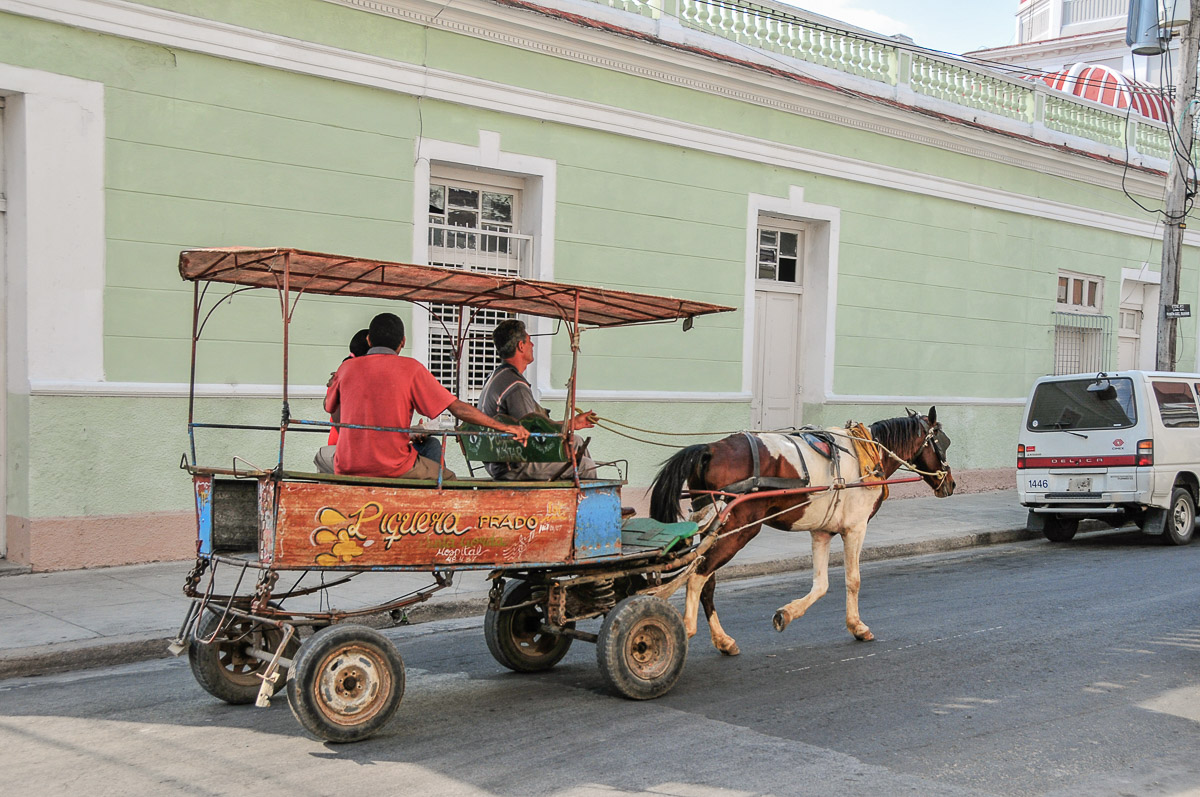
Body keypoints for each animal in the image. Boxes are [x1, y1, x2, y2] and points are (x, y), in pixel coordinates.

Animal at [652, 408, 950, 657]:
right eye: (943, 443)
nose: (950, 483)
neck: (865, 455)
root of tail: (711, 449)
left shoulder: (822, 532)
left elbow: (821, 584)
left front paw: (786, 613)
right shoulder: (856, 529)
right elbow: (853, 580)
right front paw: (857, 626)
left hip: (714, 528)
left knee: (705, 580)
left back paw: (723, 640)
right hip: (739, 529)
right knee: (698, 576)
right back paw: (686, 629)